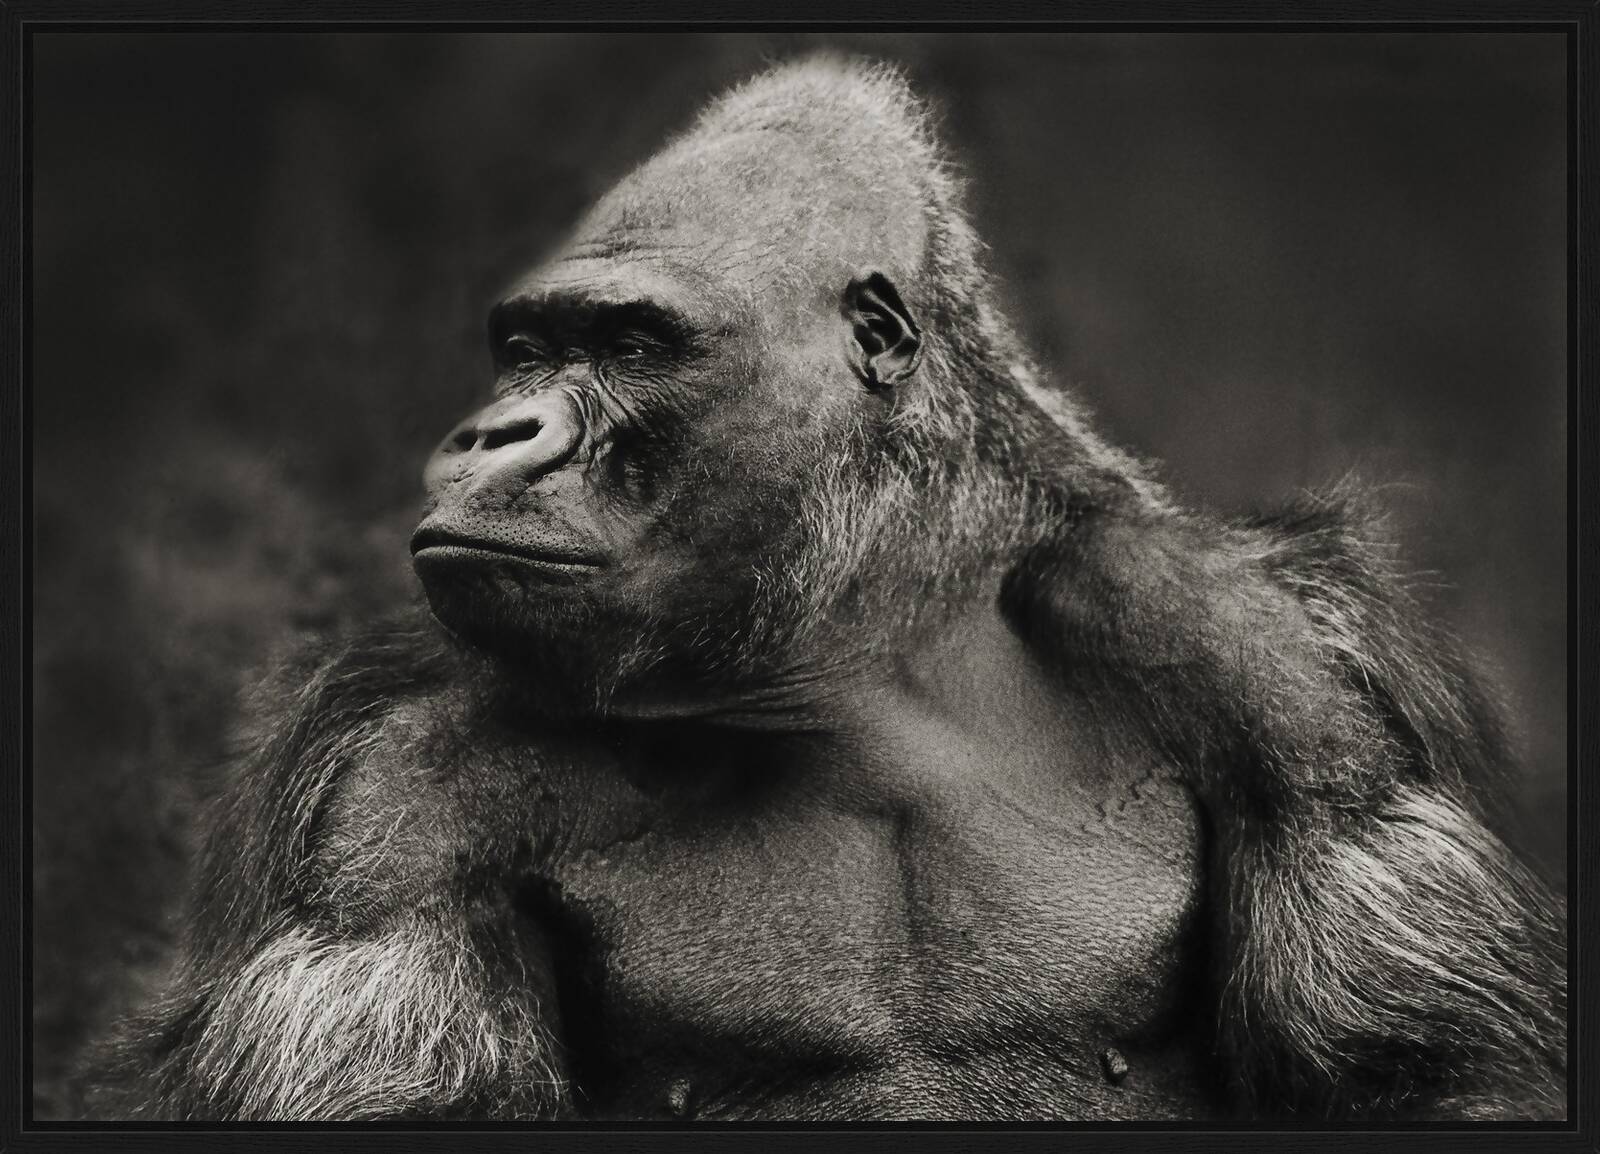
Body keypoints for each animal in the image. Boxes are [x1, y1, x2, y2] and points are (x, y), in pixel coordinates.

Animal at [82, 55, 1565, 1122]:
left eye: (631, 342)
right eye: (523, 348)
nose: (496, 432)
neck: (857, 651)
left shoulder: (1280, 681)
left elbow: (1428, 1078)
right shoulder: (389, 808)